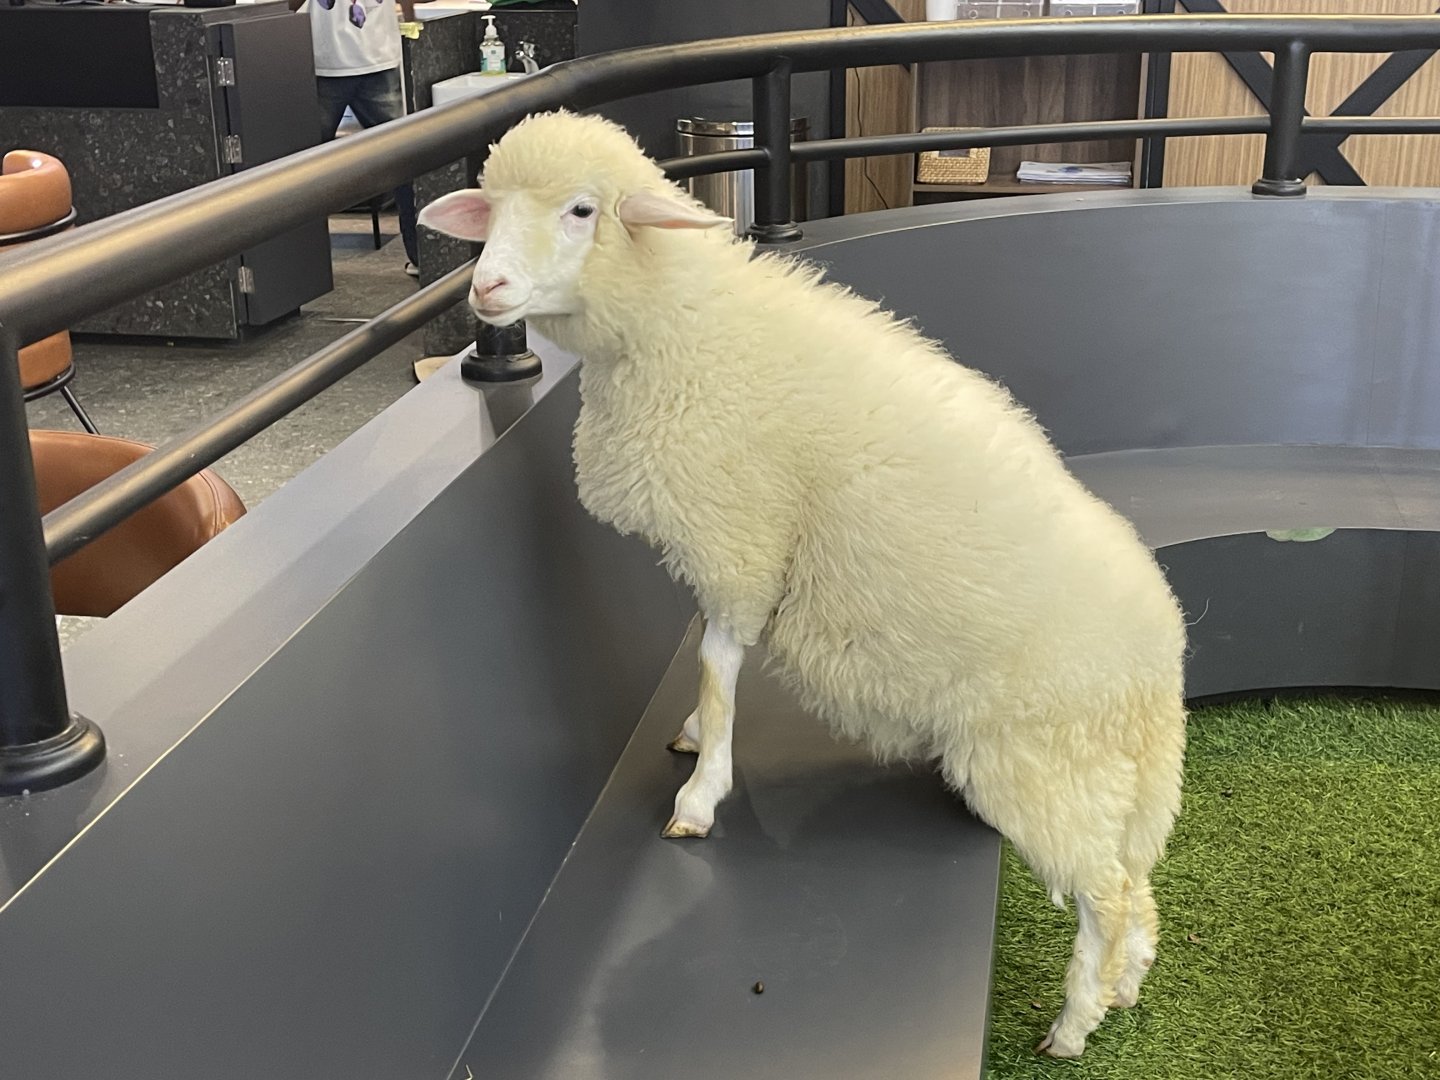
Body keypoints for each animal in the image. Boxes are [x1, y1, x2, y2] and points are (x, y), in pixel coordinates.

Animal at [418, 110, 1188, 1059]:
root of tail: (1163, 660)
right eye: (489, 209)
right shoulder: (737, 546)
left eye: (581, 210)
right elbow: (715, 661)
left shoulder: (740, 537)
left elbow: (717, 662)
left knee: (1105, 896)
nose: (485, 290)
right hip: (1105, 783)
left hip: (1042, 765)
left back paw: (1072, 1026)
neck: (681, 324)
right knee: (1139, 892)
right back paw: (1123, 990)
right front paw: (691, 738)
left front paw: (700, 789)